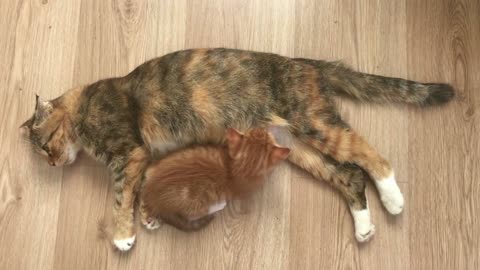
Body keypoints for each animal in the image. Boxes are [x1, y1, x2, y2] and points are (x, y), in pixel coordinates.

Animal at [139, 127, 288, 231]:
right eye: (254, 129)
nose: (263, 129)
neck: (236, 168)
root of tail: (153, 197)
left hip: (154, 168)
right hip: (195, 206)